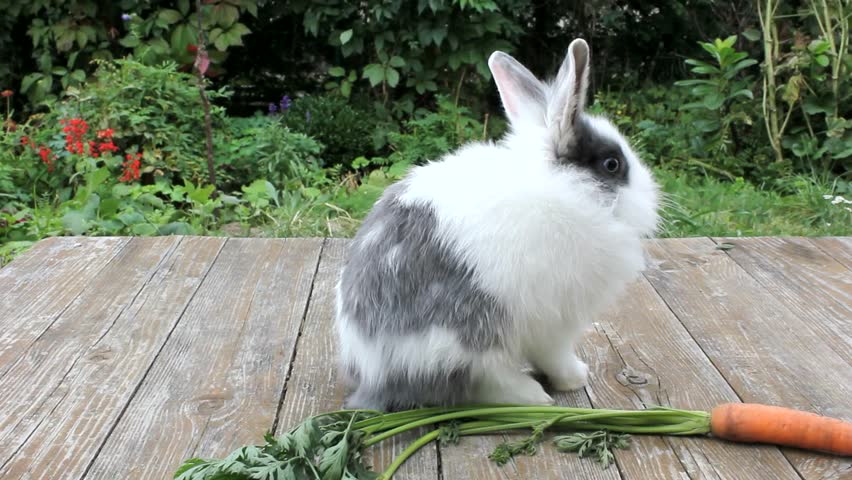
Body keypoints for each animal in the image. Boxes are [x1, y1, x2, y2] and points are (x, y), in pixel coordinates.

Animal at [335, 38, 660, 411]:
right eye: (612, 164)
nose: (653, 198)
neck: (570, 190)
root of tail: (373, 376)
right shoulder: (556, 320)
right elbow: (555, 354)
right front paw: (575, 377)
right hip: (470, 335)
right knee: (481, 382)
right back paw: (533, 396)